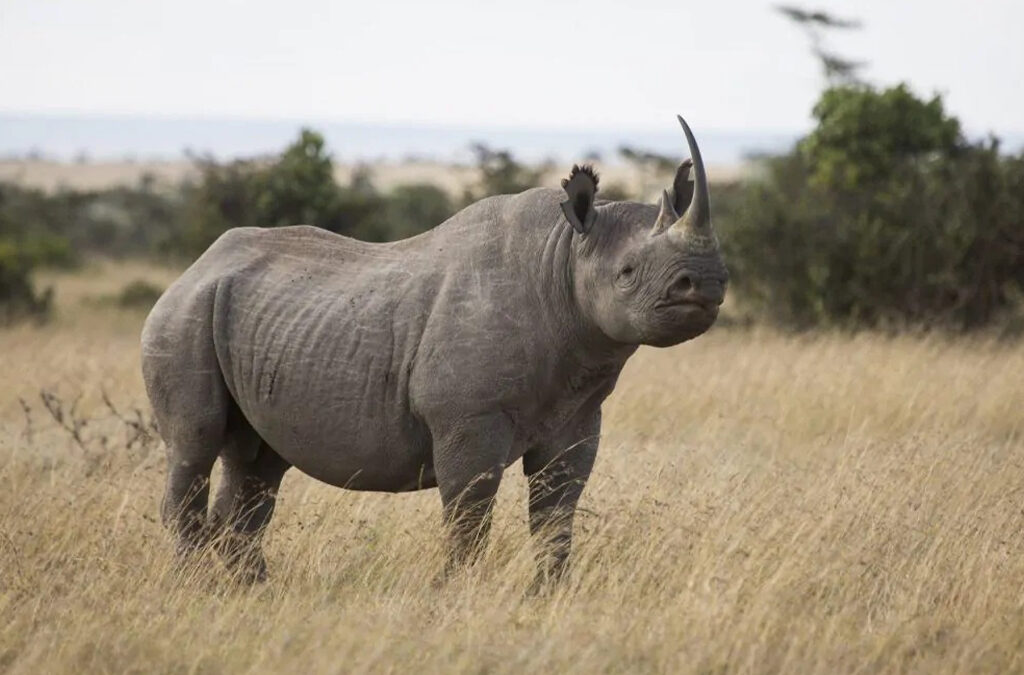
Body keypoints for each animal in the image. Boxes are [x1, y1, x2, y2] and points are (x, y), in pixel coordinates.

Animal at [141, 116, 727, 583]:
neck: (562, 258)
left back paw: (251, 590)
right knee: (195, 444)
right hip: (181, 317)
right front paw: (457, 594)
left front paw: (551, 595)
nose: (705, 283)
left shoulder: (578, 414)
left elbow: (557, 511)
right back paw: (195, 587)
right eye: (626, 273)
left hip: (253, 320)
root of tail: (193, 267)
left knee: (258, 464)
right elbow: (469, 515)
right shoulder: (467, 416)